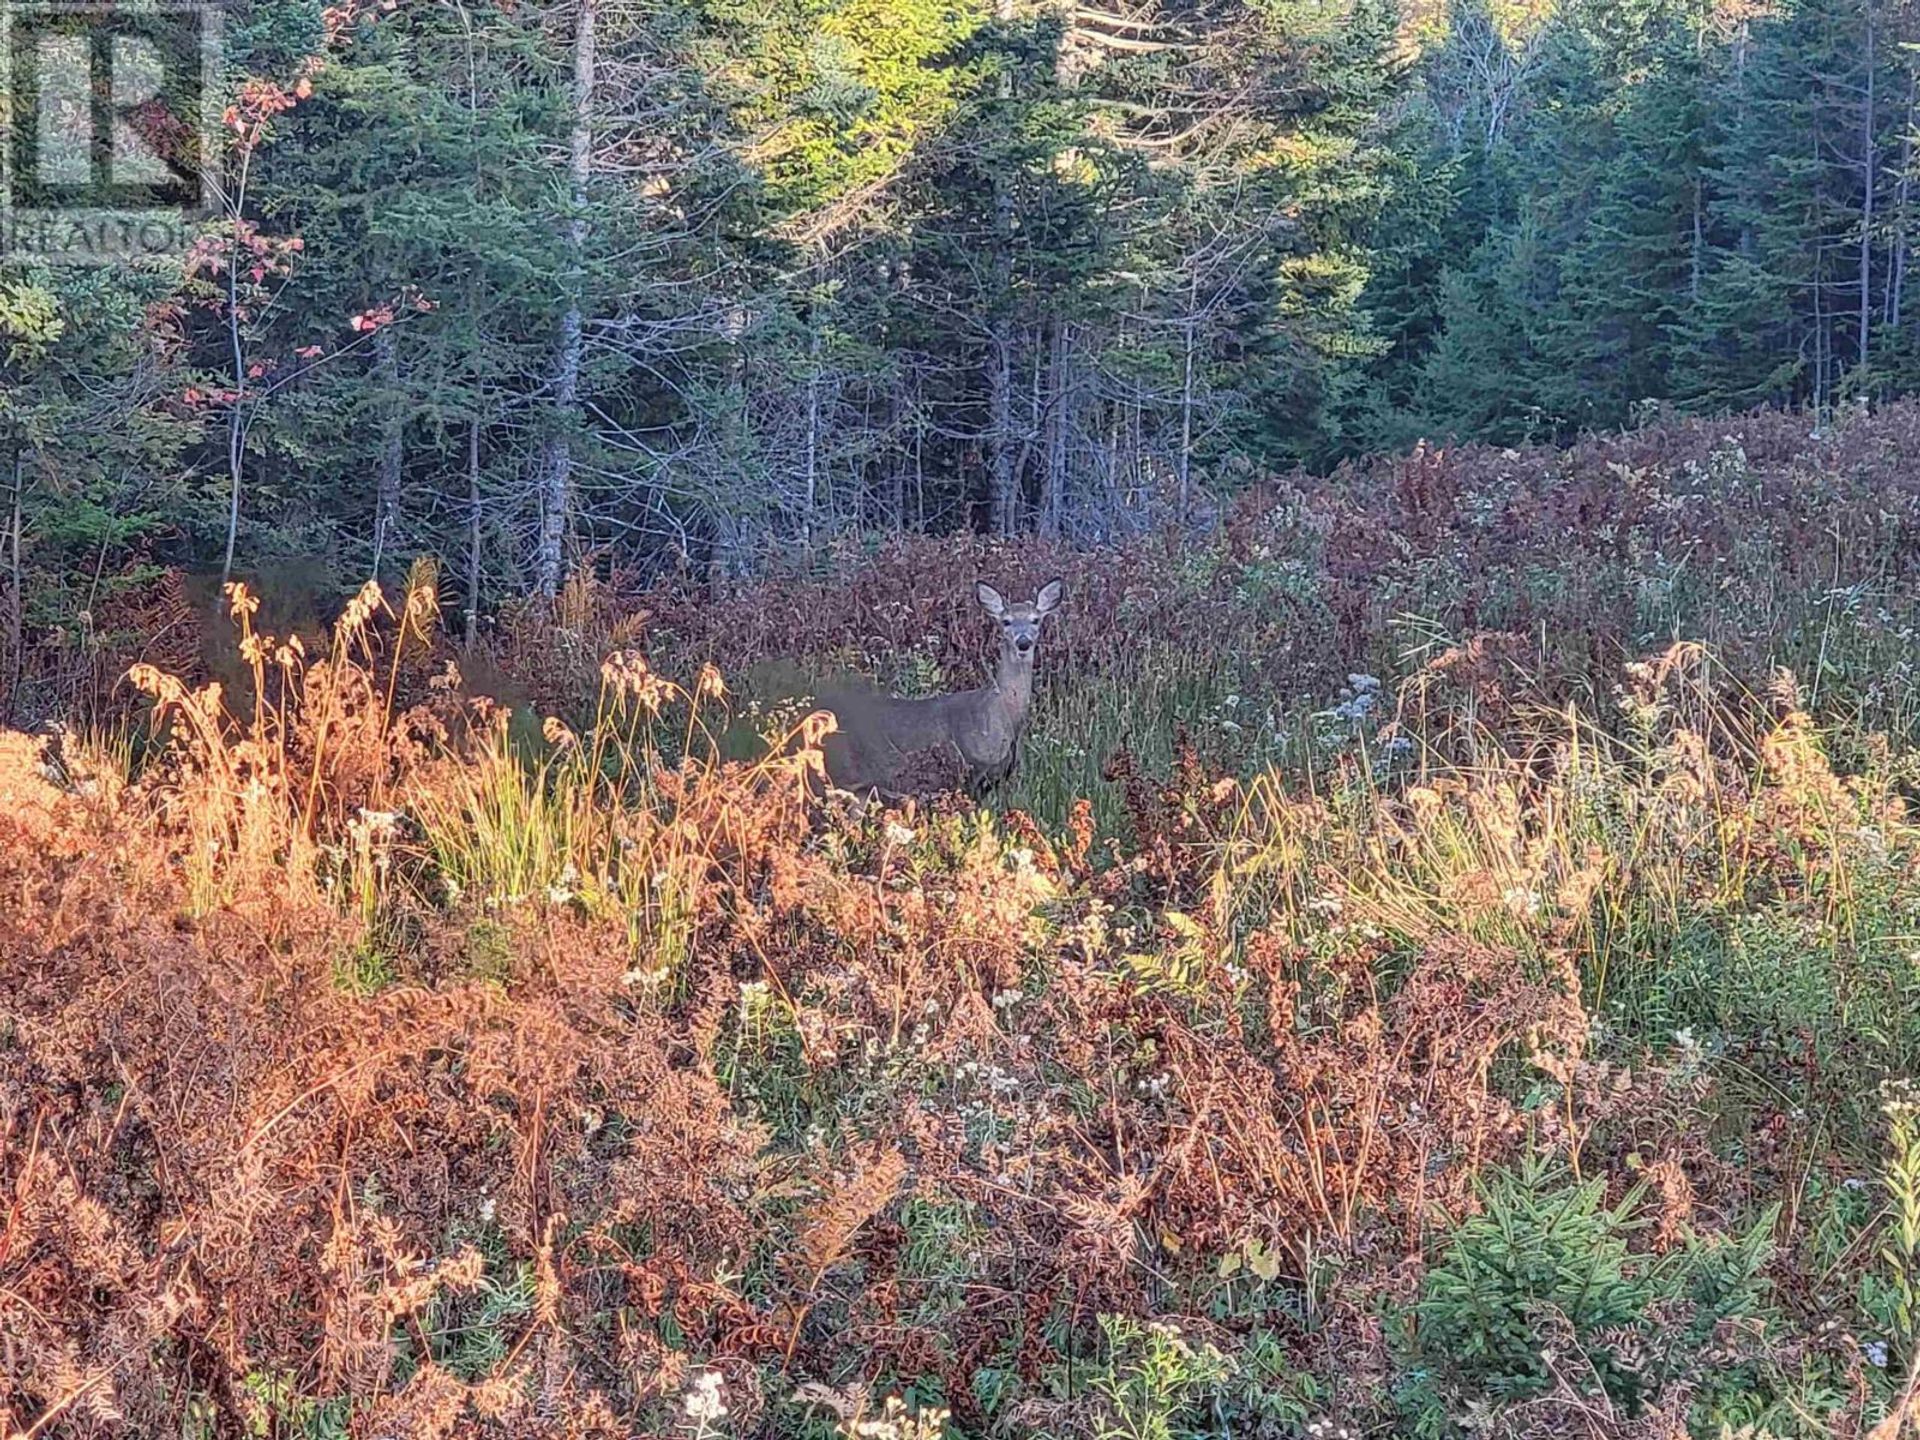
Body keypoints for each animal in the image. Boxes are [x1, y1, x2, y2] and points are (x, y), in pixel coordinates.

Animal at [814, 579, 1067, 802]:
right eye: (1006, 621)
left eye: (1035, 620)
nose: (1023, 642)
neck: (999, 715)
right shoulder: (967, 771)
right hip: (845, 775)